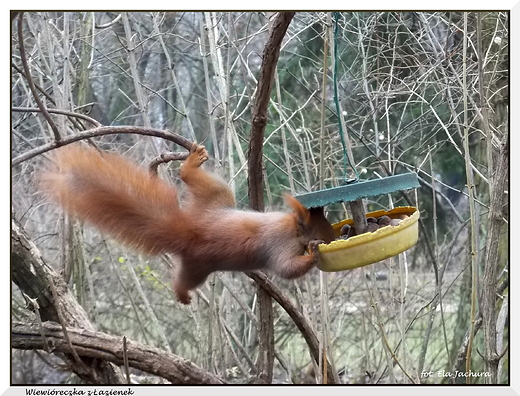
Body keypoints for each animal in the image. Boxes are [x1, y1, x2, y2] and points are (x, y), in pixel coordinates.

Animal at [39, 144, 334, 304]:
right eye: (321, 228)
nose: (332, 238)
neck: (292, 228)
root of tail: (189, 230)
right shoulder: (280, 245)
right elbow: (286, 268)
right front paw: (314, 251)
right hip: (200, 261)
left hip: (212, 201)